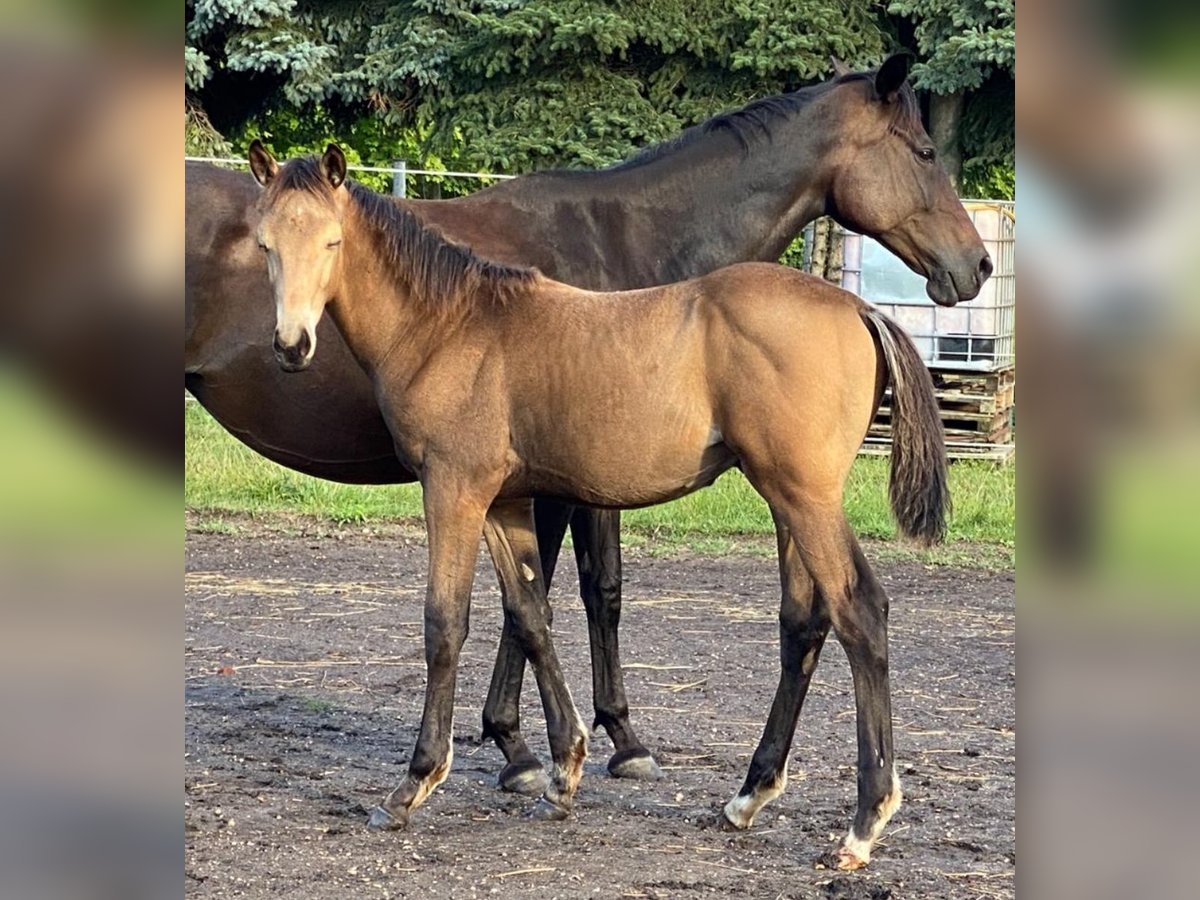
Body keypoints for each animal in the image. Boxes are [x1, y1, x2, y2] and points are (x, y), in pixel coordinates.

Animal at [186, 55, 990, 795]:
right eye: (924, 152)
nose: (977, 266)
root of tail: (856, 307)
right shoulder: (530, 487)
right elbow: (545, 603)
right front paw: (547, 748)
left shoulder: (510, 485)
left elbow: (547, 601)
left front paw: (541, 749)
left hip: (797, 492)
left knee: (835, 614)